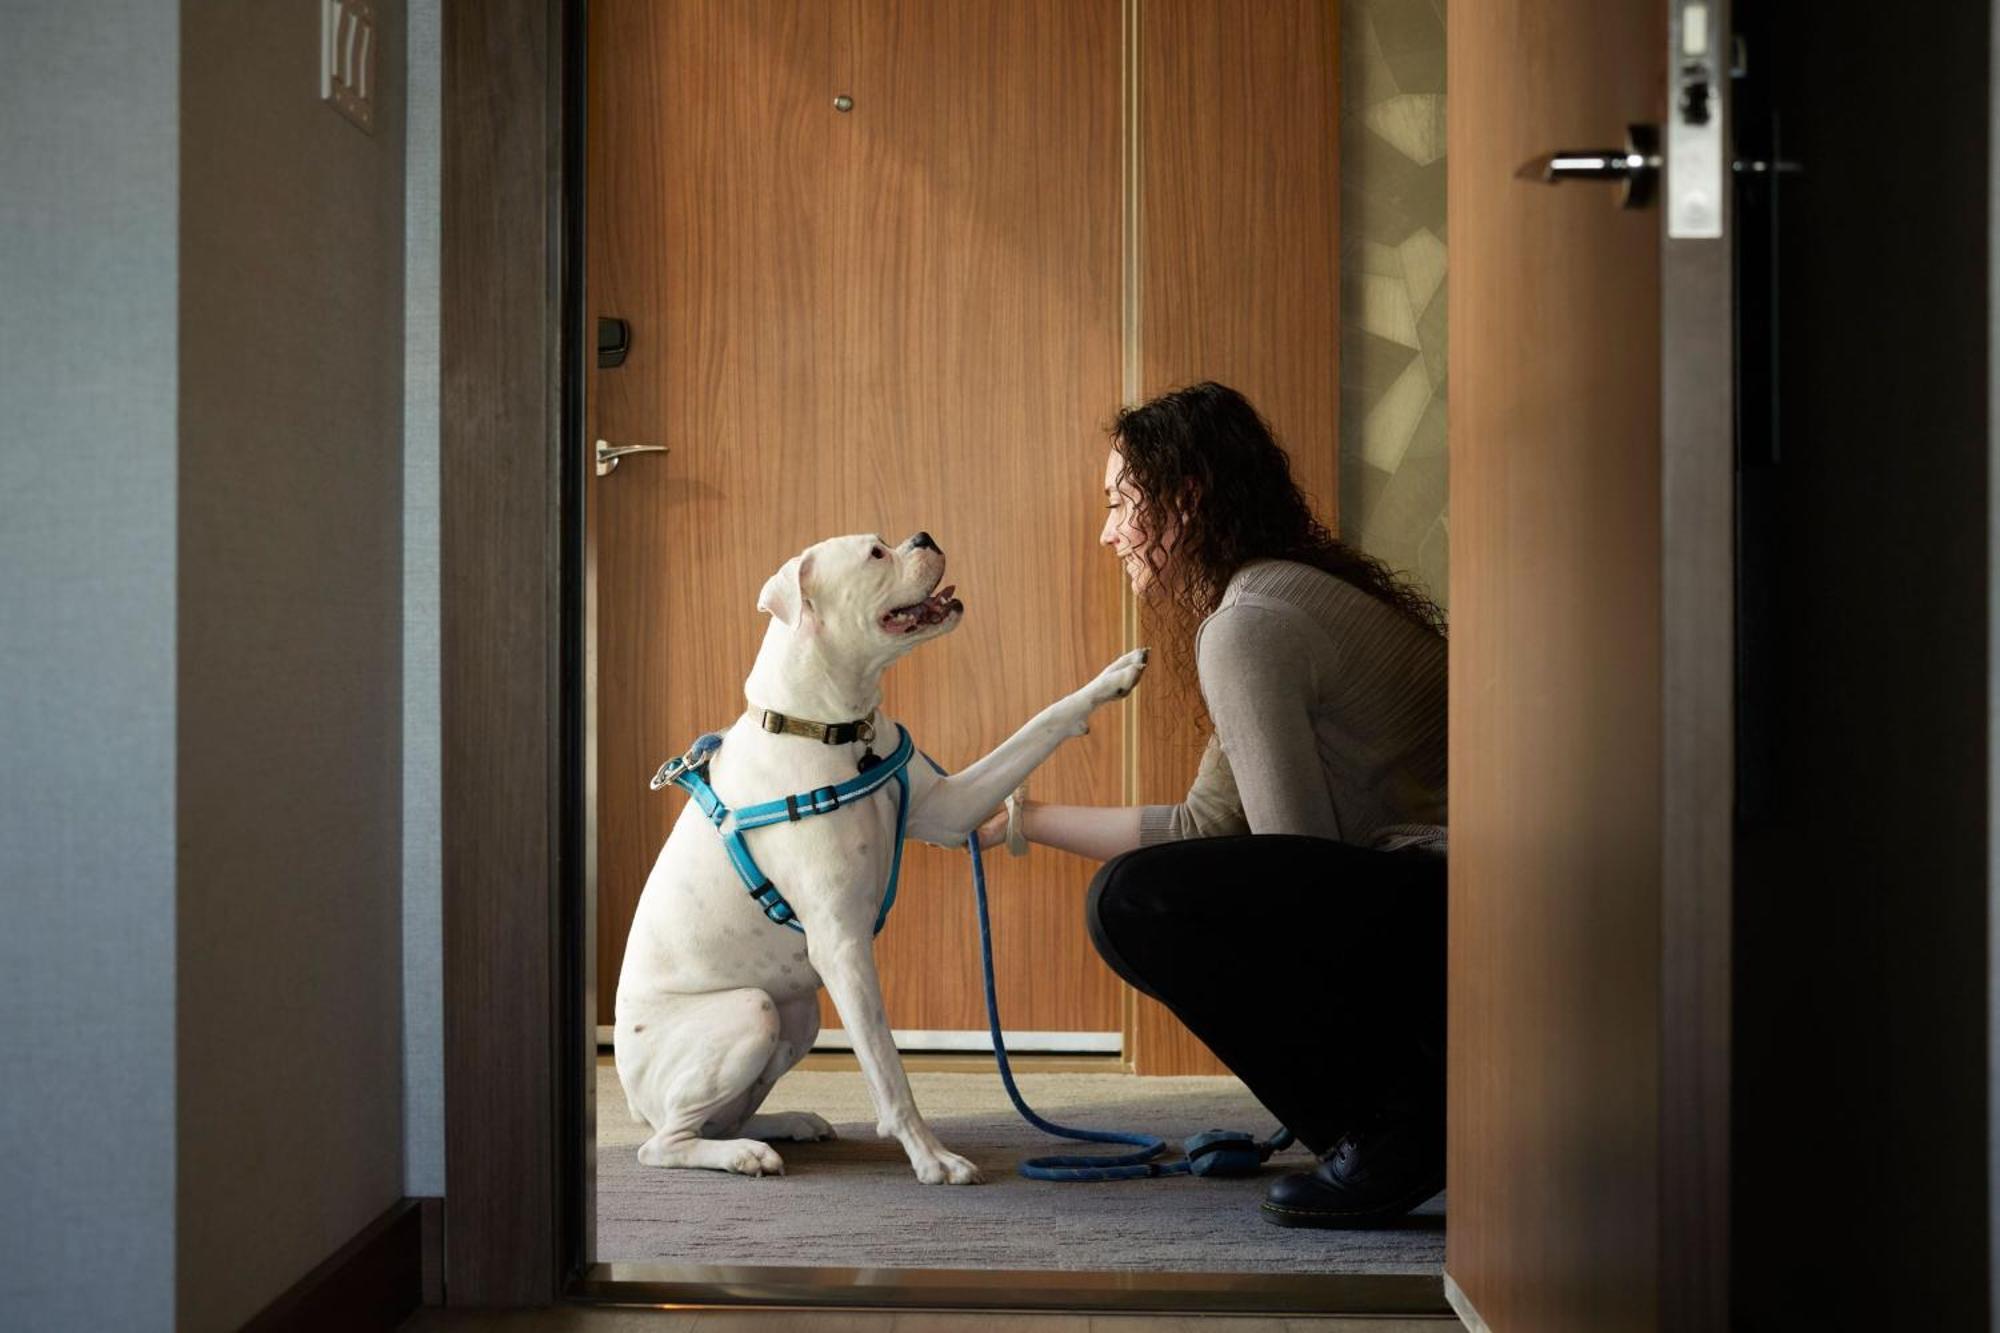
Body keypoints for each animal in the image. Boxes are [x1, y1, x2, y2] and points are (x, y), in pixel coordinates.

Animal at [608, 532, 1152, 1184]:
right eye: (874, 554)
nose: (925, 536)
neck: (826, 730)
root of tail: (631, 1096)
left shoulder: (949, 810)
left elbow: (1039, 725)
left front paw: (1113, 678)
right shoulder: (843, 947)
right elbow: (888, 1069)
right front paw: (932, 1157)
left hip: (799, 1016)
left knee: (717, 1117)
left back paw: (783, 1124)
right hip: (753, 1010)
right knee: (664, 1142)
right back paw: (742, 1155)